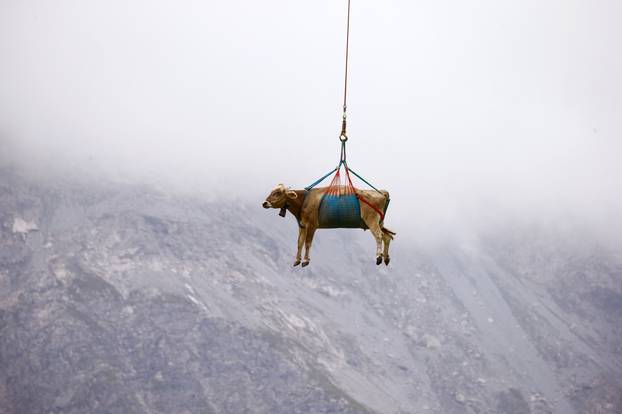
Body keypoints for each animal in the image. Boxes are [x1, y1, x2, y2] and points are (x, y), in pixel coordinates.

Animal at [262, 184, 398, 266]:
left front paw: (305, 260)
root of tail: (381, 192)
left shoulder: (312, 225)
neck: (304, 200)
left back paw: (379, 256)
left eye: (278, 193)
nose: (264, 203)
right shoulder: (302, 225)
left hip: (371, 219)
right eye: (272, 191)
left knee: (379, 236)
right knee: (387, 236)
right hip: (379, 222)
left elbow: (308, 243)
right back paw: (386, 258)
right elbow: (299, 243)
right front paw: (297, 260)